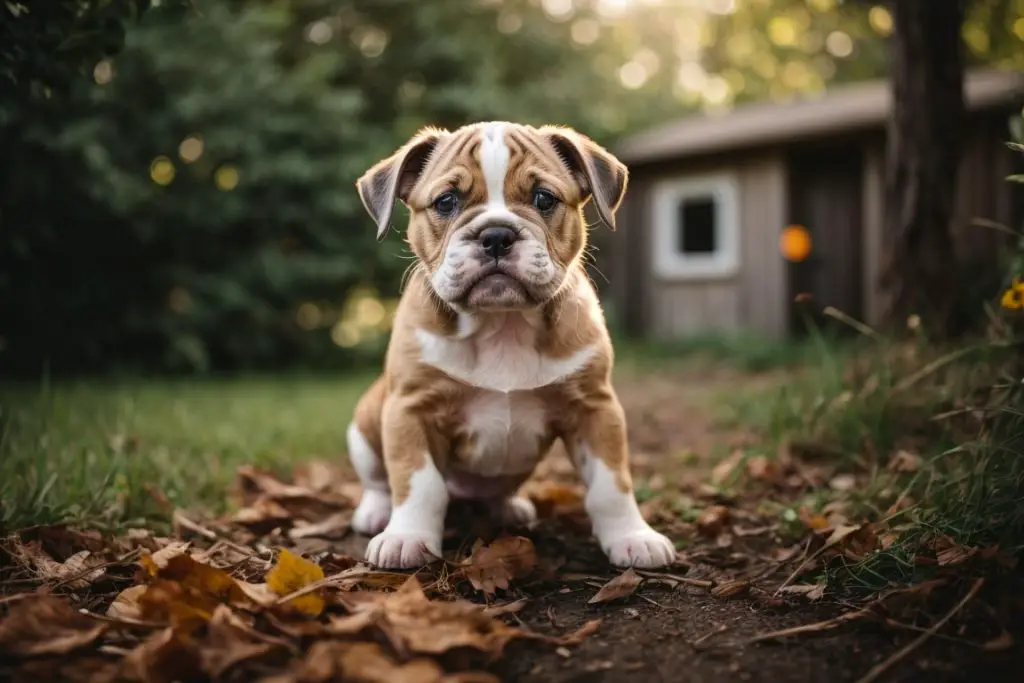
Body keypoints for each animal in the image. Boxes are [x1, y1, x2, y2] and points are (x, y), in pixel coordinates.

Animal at [348, 121, 675, 573]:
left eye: (544, 198)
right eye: (446, 202)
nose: (496, 235)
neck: (503, 323)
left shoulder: (595, 408)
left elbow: (612, 485)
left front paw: (632, 537)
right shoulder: (410, 409)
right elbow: (418, 482)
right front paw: (407, 537)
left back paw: (509, 508)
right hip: (364, 424)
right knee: (378, 480)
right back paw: (376, 513)